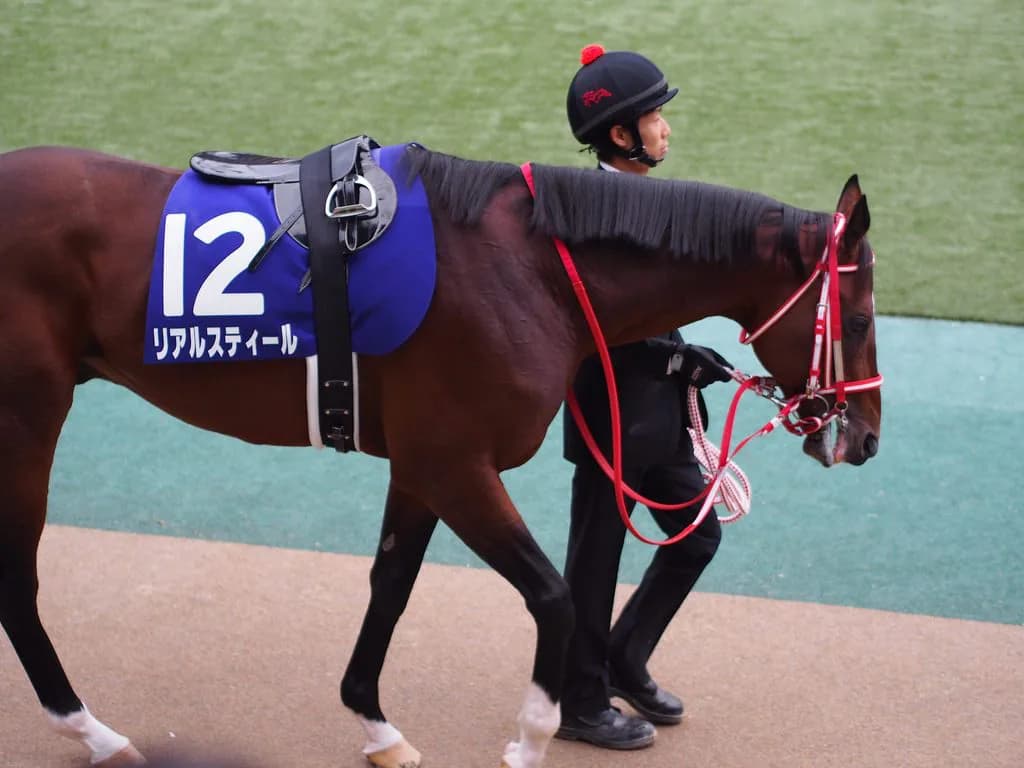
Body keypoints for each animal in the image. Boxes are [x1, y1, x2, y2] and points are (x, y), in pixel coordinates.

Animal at [0, 141, 881, 768]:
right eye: (864, 317)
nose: (867, 439)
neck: (530, 271)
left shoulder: (421, 467)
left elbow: (391, 585)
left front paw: (376, 724)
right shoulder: (458, 466)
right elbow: (554, 594)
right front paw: (532, 736)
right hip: (29, 414)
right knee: (19, 582)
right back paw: (93, 732)